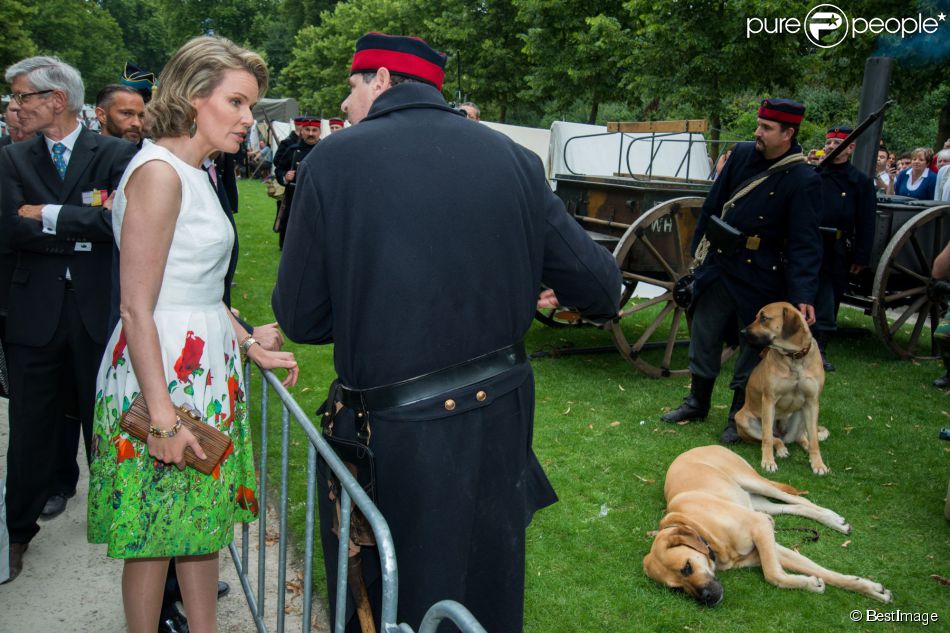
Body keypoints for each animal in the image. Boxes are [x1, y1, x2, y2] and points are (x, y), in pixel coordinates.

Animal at [644, 442, 896, 604]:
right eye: (678, 589)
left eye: (687, 567)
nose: (708, 598)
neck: (701, 530)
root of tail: (699, 447)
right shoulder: (771, 544)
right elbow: (822, 572)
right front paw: (870, 589)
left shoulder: (760, 527)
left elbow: (772, 574)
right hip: (759, 503)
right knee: (794, 507)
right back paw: (834, 521)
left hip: (753, 482)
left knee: (798, 499)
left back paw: (833, 519)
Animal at [736, 302, 824, 474]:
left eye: (763, 318)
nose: (742, 332)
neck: (794, 357)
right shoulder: (769, 400)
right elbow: (768, 438)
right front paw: (768, 461)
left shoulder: (812, 402)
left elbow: (814, 440)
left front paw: (818, 464)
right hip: (743, 419)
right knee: (774, 438)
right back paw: (781, 448)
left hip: (801, 414)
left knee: (800, 437)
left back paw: (804, 445)